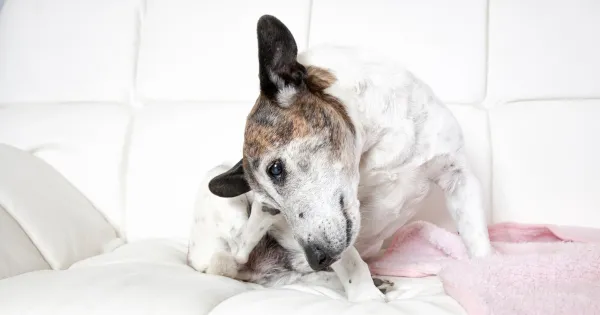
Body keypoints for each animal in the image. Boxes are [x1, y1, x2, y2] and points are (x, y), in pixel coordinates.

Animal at [188, 15, 492, 304]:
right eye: (272, 205)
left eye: (275, 169)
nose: (317, 258)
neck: (374, 140)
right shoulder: (340, 231)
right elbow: (352, 262)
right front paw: (367, 298)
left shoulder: (459, 177)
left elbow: (478, 241)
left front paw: (487, 279)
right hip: (218, 196)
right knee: (238, 252)